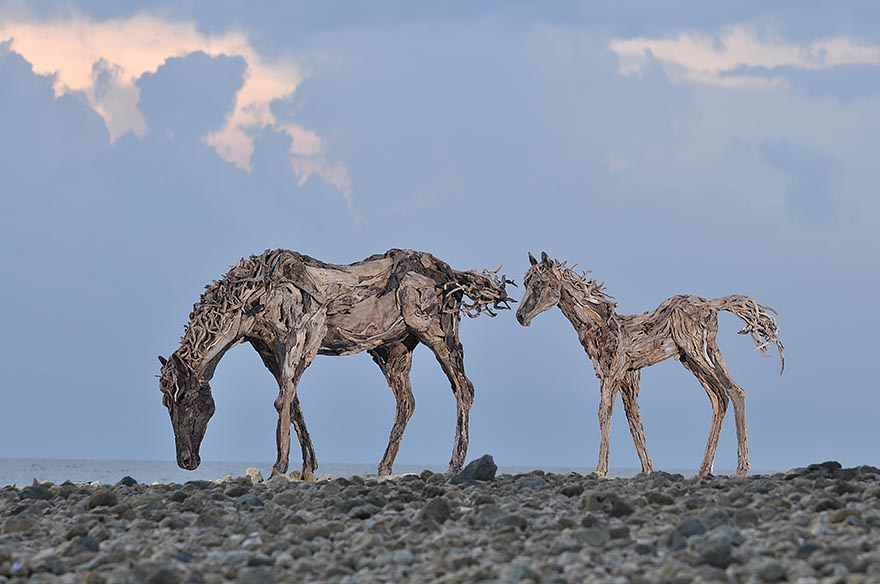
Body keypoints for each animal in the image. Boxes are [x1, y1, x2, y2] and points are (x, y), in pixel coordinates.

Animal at [158, 248, 514, 479]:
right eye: (167, 405)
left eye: (186, 399)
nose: (186, 461)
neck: (254, 298)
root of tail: (452, 275)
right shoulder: (270, 352)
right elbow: (293, 402)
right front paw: (307, 468)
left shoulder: (299, 339)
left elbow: (282, 400)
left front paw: (279, 468)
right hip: (394, 349)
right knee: (407, 402)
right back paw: (383, 468)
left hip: (436, 332)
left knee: (463, 388)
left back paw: (455, 465)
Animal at [516, 252, 783, 477]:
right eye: (525, 283)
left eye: (539, 283)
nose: (520, 317)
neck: (600, 326)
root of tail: (710, 305)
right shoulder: (628, 379)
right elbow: (634, 419)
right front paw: (648, 470)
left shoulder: (612, 374)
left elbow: (604, 412)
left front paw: (600, 471)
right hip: (698, 357)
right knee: (723, 396)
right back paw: (705, 469)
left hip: (696, 352)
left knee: (730, 392)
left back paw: (738, 470)